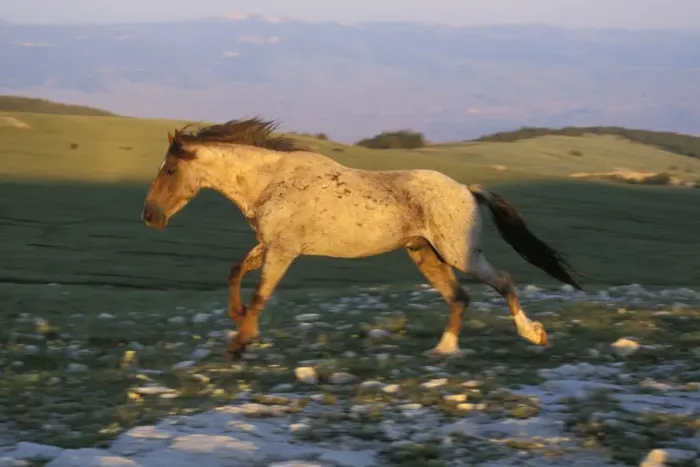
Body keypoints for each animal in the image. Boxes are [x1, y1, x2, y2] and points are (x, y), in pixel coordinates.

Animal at [141, 117, 582, 359]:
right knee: (459, 297)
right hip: (424, 255)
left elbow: (261, 293)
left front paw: (240, 343)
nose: (149, 217)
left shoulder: (284, 250)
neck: (269, 181)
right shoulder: (269, 245)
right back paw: (444, 350)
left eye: (170, 170)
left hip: (461, 254)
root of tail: (467, 190)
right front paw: (238, 321)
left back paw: (533, 334)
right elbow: (235, 272)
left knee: (503, 281)